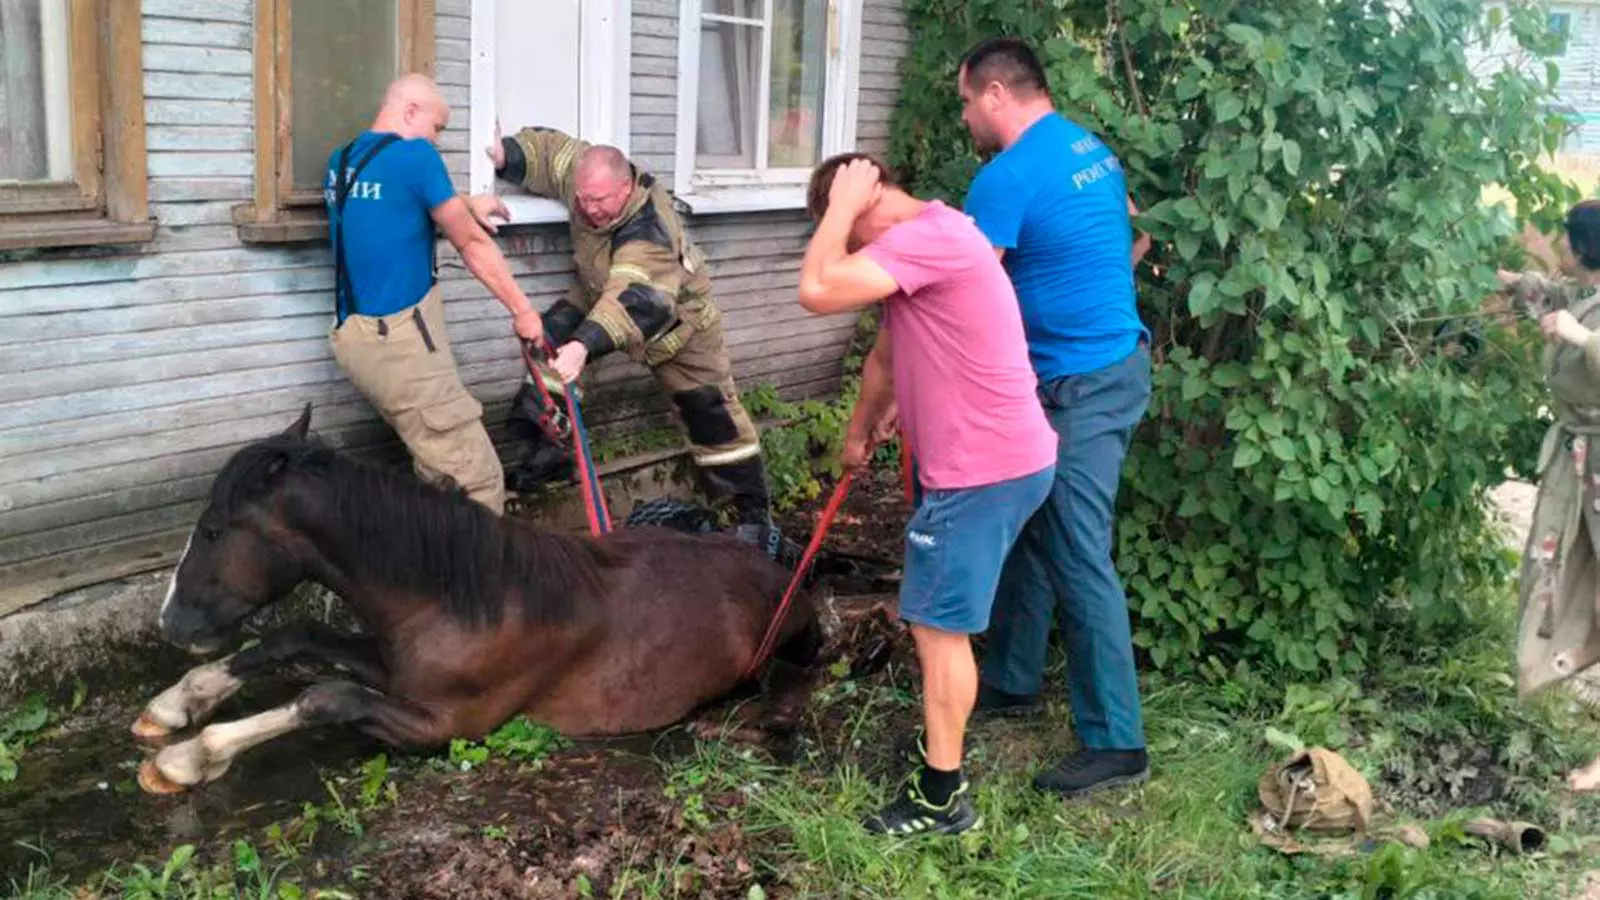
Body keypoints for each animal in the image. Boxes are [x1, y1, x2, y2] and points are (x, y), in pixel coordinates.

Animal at [131, 406, 825, 791]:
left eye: (214, 530)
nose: (170, 621)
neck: (464, 598)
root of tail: (782, 570)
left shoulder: (446, 725)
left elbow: (324, 697)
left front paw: (190, 757)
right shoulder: (395, 669)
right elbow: (293, 637)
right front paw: (176, 703)